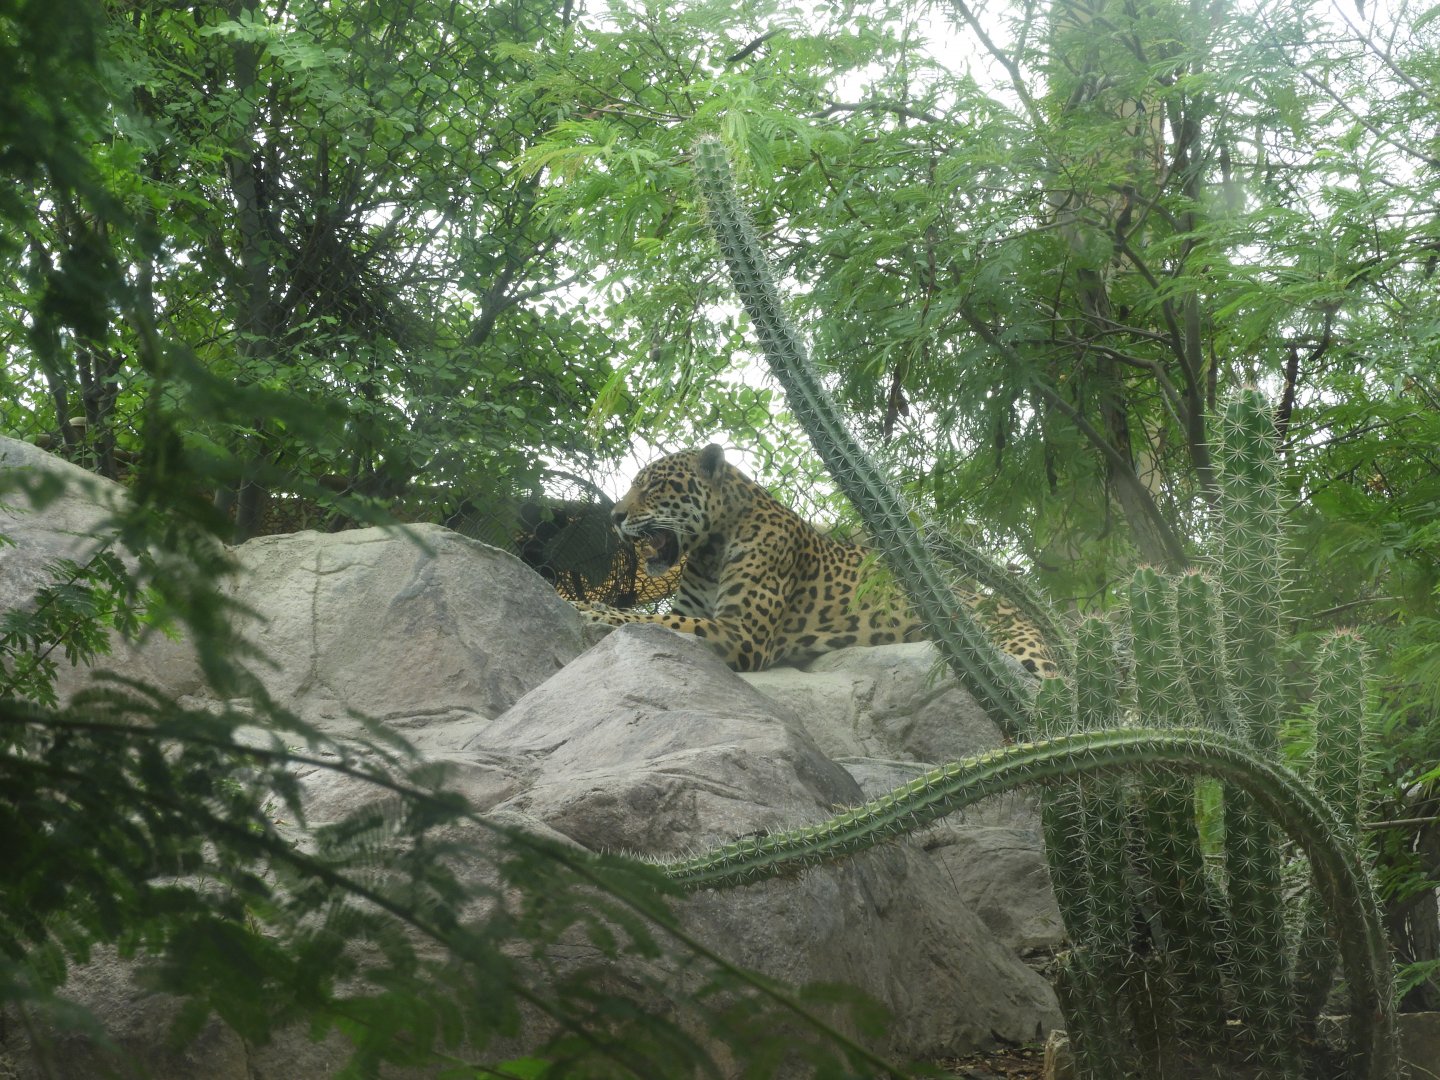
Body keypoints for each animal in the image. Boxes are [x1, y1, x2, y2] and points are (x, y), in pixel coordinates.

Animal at [571, 443, 1059, 677]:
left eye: (654, 487)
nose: (614, 517)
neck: (711, 549)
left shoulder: (743, 633)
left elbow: (657, 621)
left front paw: (593, 610)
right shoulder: (701, 609)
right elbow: (667, 617)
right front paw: (594, 608)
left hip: (1027, 654)